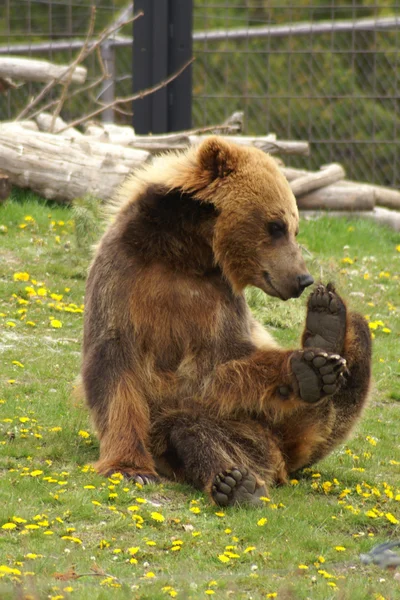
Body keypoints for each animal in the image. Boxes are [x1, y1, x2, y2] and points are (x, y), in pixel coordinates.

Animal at [81, 136, 372, 506]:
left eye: (294, 227)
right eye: (275, 225)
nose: (302, 278)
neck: (183, 254)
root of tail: (286, 458)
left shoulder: (217, 299)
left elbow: (226, 359)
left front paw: (304, 367)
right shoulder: (124, 277)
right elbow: (113, 369)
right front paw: (131, 468)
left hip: (268, 423)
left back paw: (325, 334)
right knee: (189, 429)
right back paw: (236, 483)